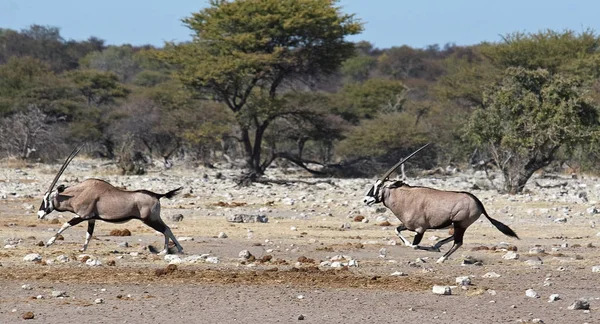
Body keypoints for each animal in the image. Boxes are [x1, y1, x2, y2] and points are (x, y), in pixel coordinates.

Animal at [38, 146, 183, 254]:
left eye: (47, 199)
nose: (39, 215)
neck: (79, 193)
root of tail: (157, 195)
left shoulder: (83, 216)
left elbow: (65, 224)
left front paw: (49, 243)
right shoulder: (91, 219)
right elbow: (89, 234)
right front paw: (82, 249)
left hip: (149, 219)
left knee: (165, 229)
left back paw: (169, 251)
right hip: (154, 218)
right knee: (167, 228)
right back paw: (170, 250)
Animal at [364, 144, 516, 264]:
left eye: (379, 186)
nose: (365, 200)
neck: (405, 198)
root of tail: (477, 202)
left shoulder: (420, 229)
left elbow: (414, 246)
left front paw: (431, 249)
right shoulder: (408, 226)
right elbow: (397, 230)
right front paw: (432, 246)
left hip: (460, 224)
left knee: (458, 242)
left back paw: (441, 258)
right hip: (459, 225)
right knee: (455, 239)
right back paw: (438, 245)